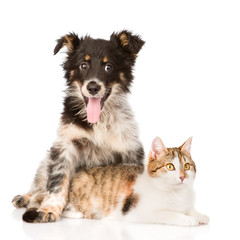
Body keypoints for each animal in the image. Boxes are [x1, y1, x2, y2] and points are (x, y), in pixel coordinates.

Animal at [11, 30, 144, 223]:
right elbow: (57, 180)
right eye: (83, 65)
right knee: (41, 183)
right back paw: (26, 197)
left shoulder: (130, 149)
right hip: (47, 160)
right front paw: (49, 208)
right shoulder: (65, 145)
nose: (93, 87)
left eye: (108, 67)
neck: (98, 121)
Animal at [62, 137, 209, 227]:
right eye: (169, 166)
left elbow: (189, 209)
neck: (176, 193)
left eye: (187, 166)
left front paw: (200, 216)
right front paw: (187, 219)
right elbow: (167, 214)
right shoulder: (139, 213)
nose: (183, 177)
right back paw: (76, 213)